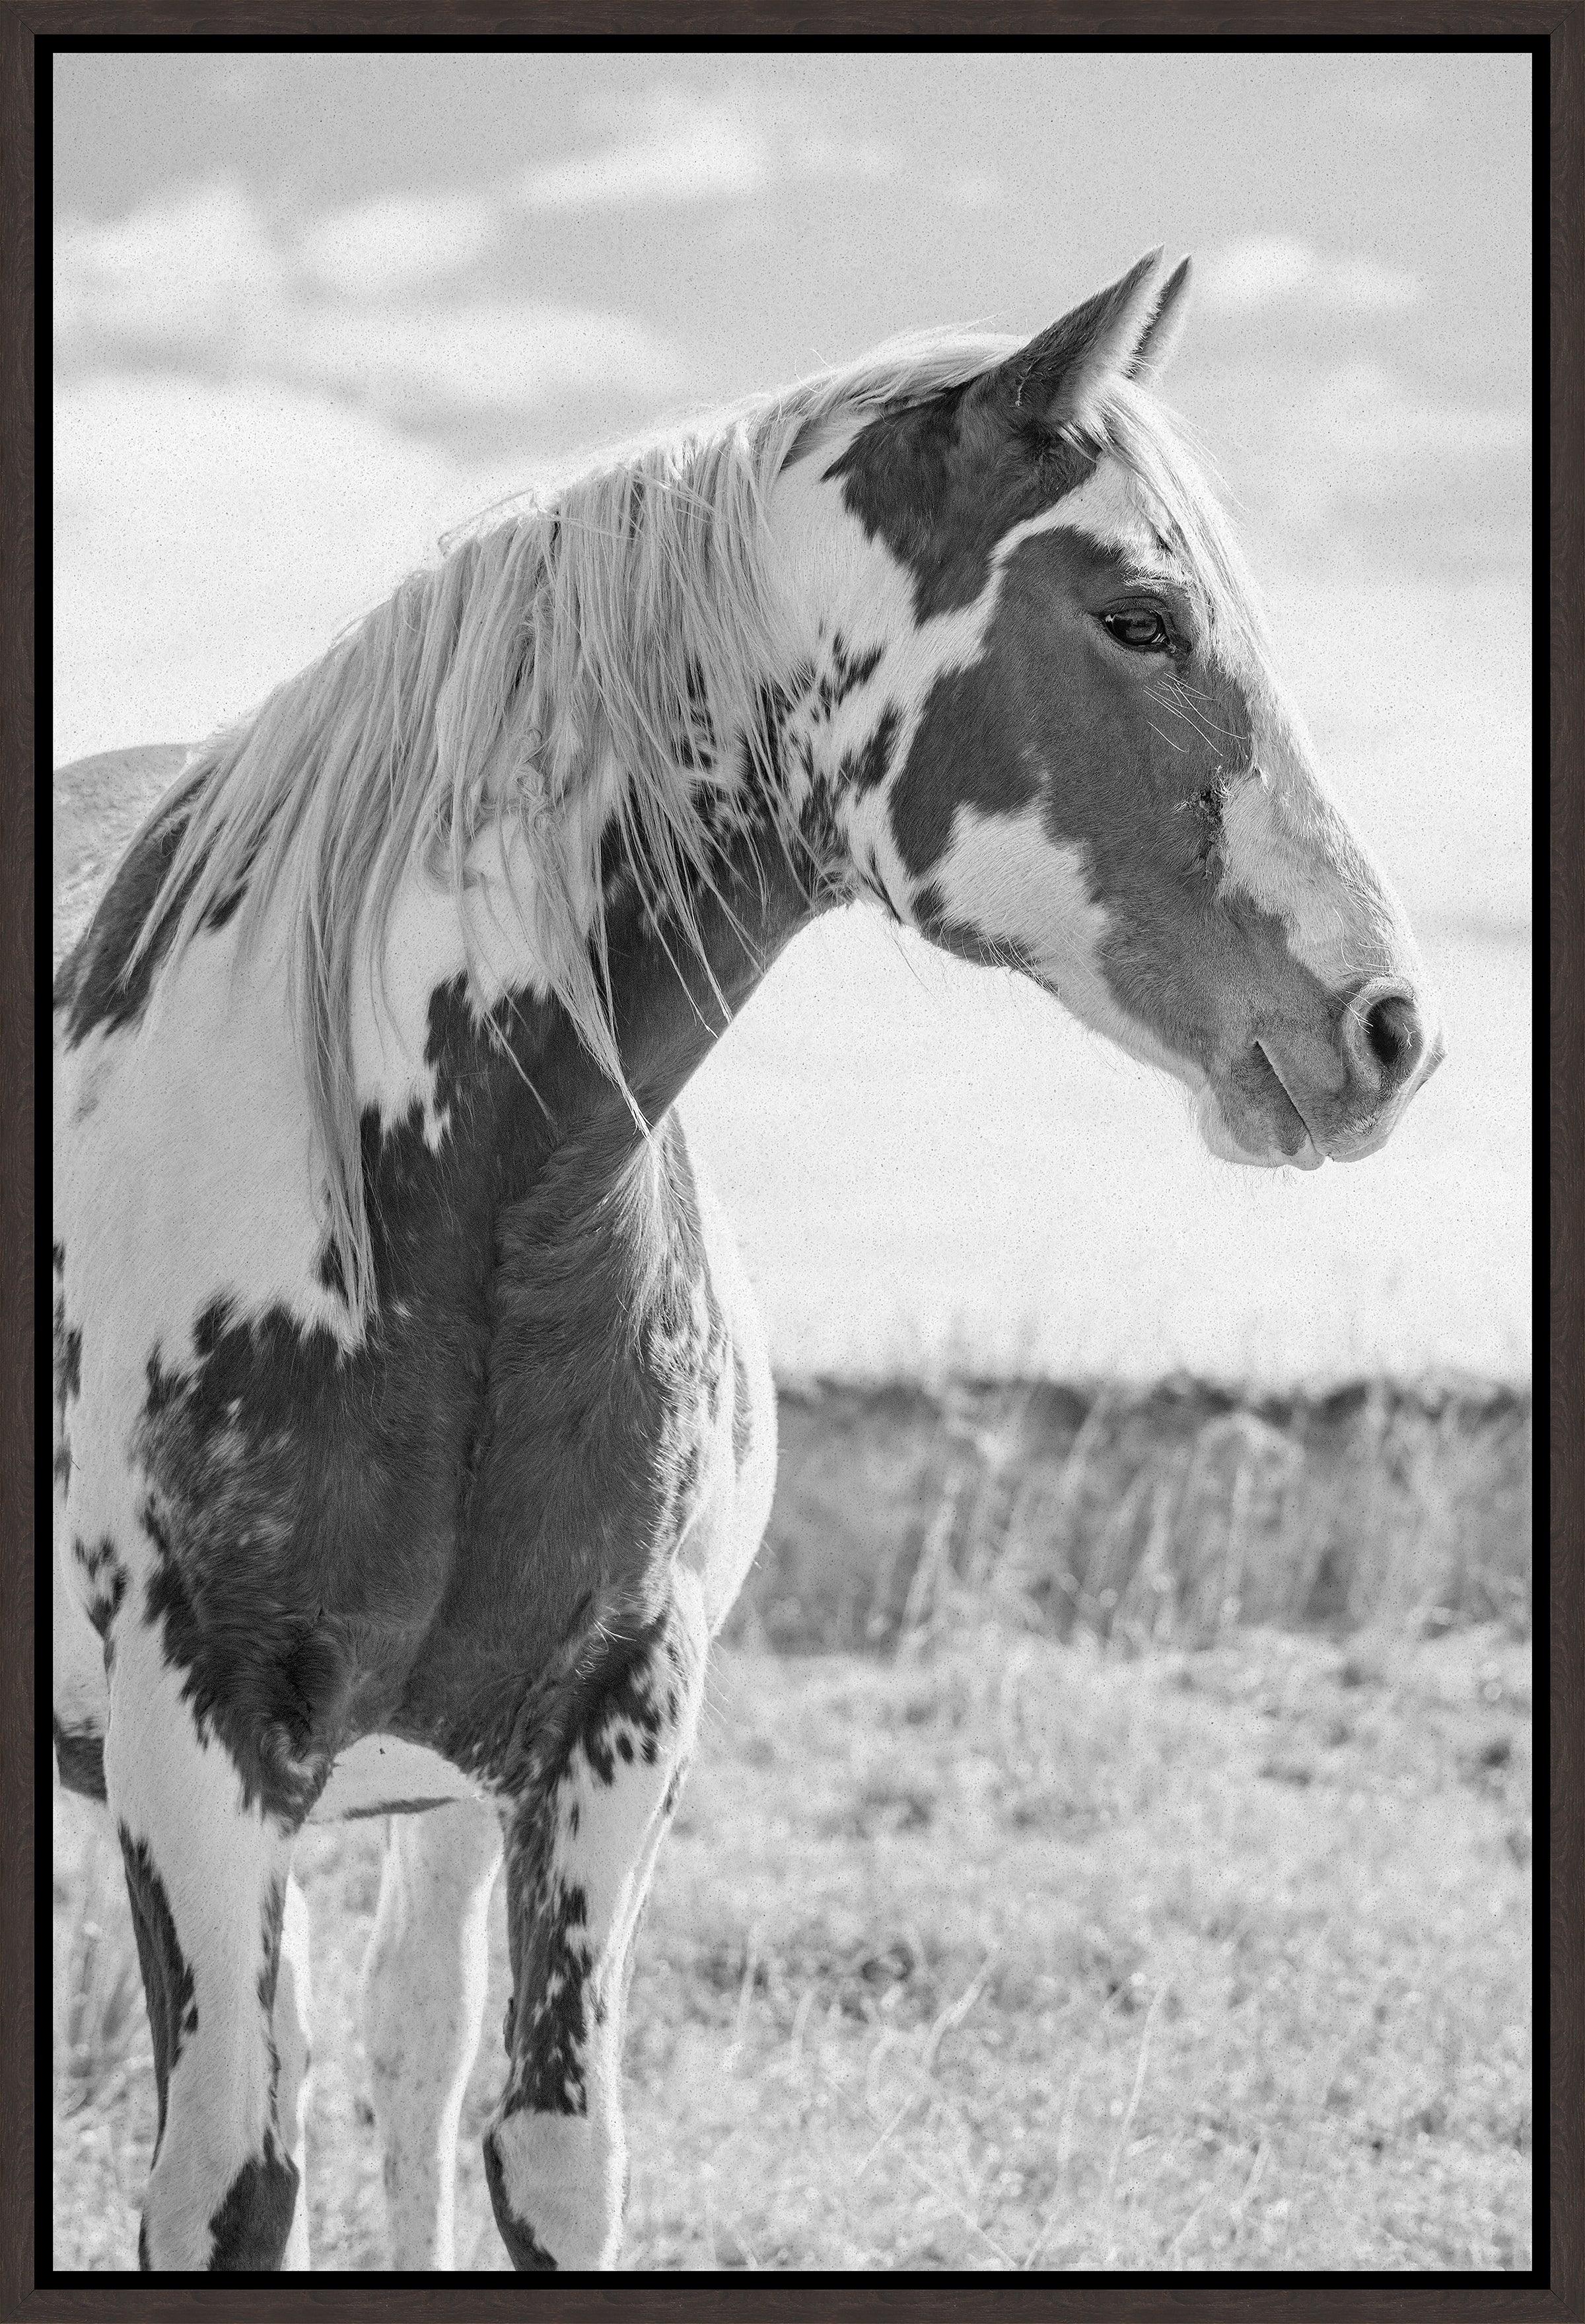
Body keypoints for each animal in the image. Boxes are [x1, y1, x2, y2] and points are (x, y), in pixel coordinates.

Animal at [52, 249, 1444, 2274]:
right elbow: (231, 2180)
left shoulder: (606, 1739)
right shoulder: (198, 1751)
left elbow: (545, 2151)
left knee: (407, 2049)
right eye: (1139, 616)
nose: (1389, 1028)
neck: (435, 1202)